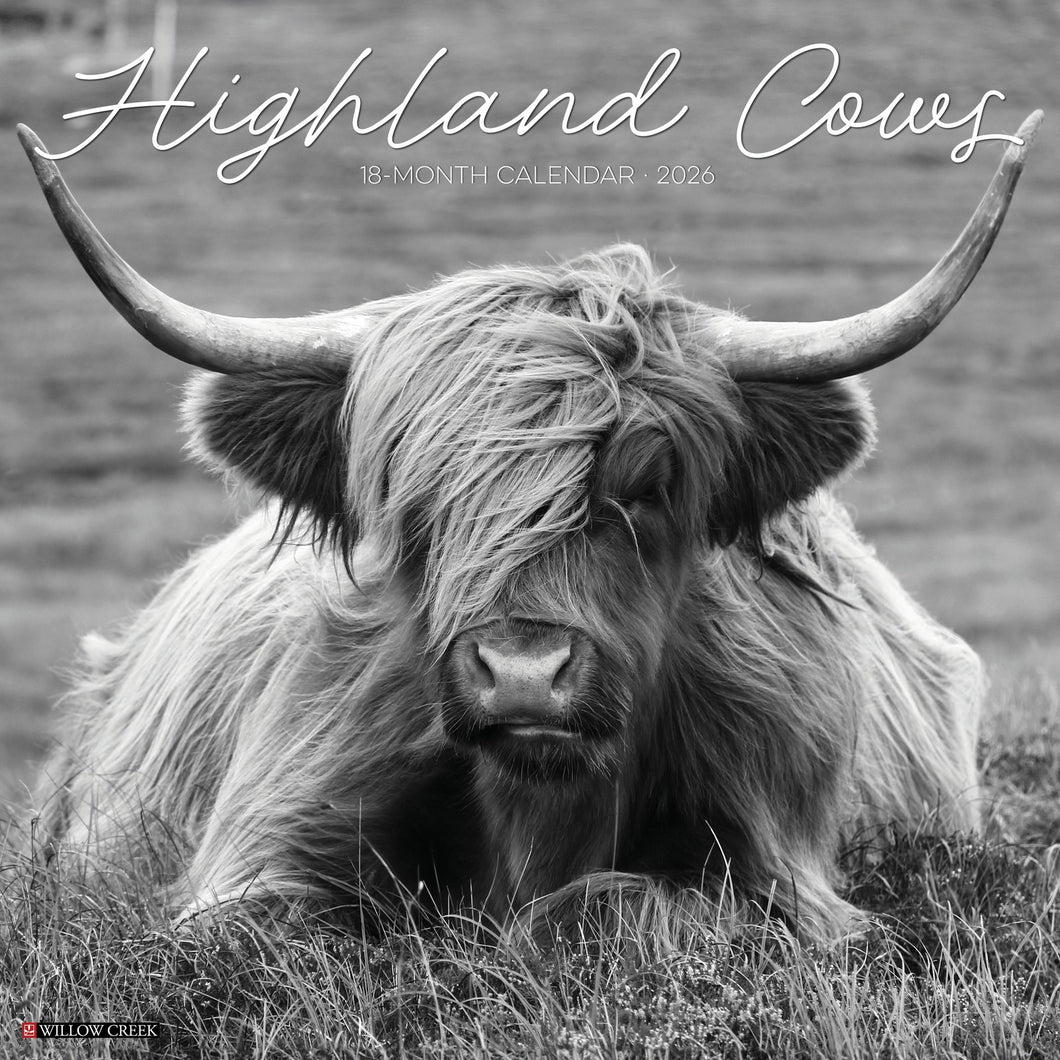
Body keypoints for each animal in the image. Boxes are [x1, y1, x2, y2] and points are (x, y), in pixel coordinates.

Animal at [18, 111, 1041, 942]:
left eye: (649, 486)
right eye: (411, 495)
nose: (521, 673)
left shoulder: (788, 879)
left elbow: (612, 905)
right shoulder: (258, 853)